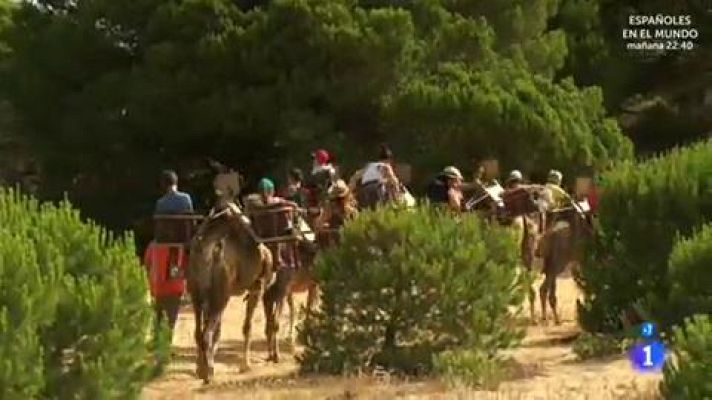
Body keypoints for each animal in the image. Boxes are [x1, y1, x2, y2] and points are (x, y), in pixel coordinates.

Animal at [186, 203, 272, 384]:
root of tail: (209, 251)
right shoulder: (257, 287)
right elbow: (247, 326)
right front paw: (245, 366)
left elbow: (218, 330)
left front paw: (199, 368)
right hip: (221, 293)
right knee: (207, 333)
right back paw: (209, 373)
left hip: (196, 291)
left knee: (199, 331)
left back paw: (203, 370)